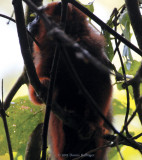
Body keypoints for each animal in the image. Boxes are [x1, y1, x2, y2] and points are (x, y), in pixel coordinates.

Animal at [27, 1, 112, 160]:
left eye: (37, 17)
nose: (29, 22)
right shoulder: (45, 57)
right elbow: (36, 91)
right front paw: (44, 85)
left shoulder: (91, 49)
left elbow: (103, 85)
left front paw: (92, 124)